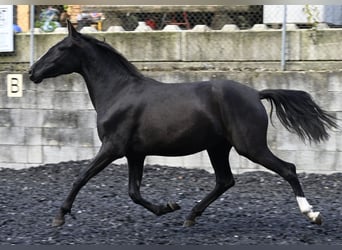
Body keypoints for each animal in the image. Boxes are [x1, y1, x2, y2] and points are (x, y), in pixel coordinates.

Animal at [28, 20, 336, 228]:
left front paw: (60, 216)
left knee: (288, 169)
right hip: (218, 148)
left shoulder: (112, 147)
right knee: (225, 180)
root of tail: (255, 94)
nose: (32, 72)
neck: (118, 92)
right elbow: (133, 192)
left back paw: (312, 214)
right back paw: (190, 215)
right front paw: (168, 207)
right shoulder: (135, 153)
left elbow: (81, 176)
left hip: (249, 146)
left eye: (59, 48)